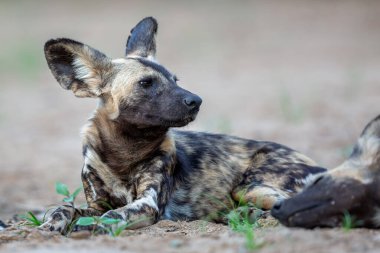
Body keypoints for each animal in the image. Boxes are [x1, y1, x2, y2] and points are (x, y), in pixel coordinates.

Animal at [41, 16, 326, 233]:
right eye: (146, 83)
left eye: (174, 80)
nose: (196, 101)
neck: (124, 152)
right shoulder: (96, 203)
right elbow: (64, 207)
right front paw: (50, 226)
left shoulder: (148, 204)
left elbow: (113, 215)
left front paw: (93, 226)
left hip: (249, 187)